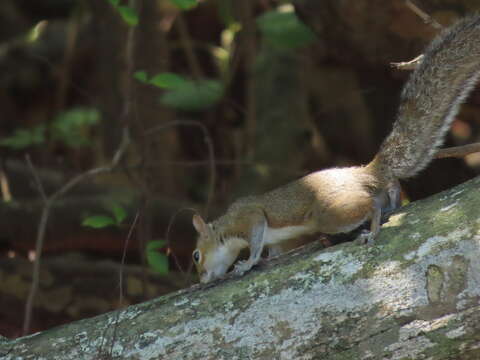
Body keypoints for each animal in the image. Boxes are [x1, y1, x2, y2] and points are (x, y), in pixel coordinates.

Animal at [190, 14, 480, 282]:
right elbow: (273, 249)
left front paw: (247, 263)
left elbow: (256, 238)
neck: (224, 226)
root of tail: (365, 172)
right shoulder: (272, 238)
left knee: (370, 206)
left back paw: (372, 230)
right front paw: (265, 260)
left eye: (196, 255)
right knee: (388, 190)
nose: (202, 279)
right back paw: (392, 203)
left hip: (328, 214)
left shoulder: (249, 216)